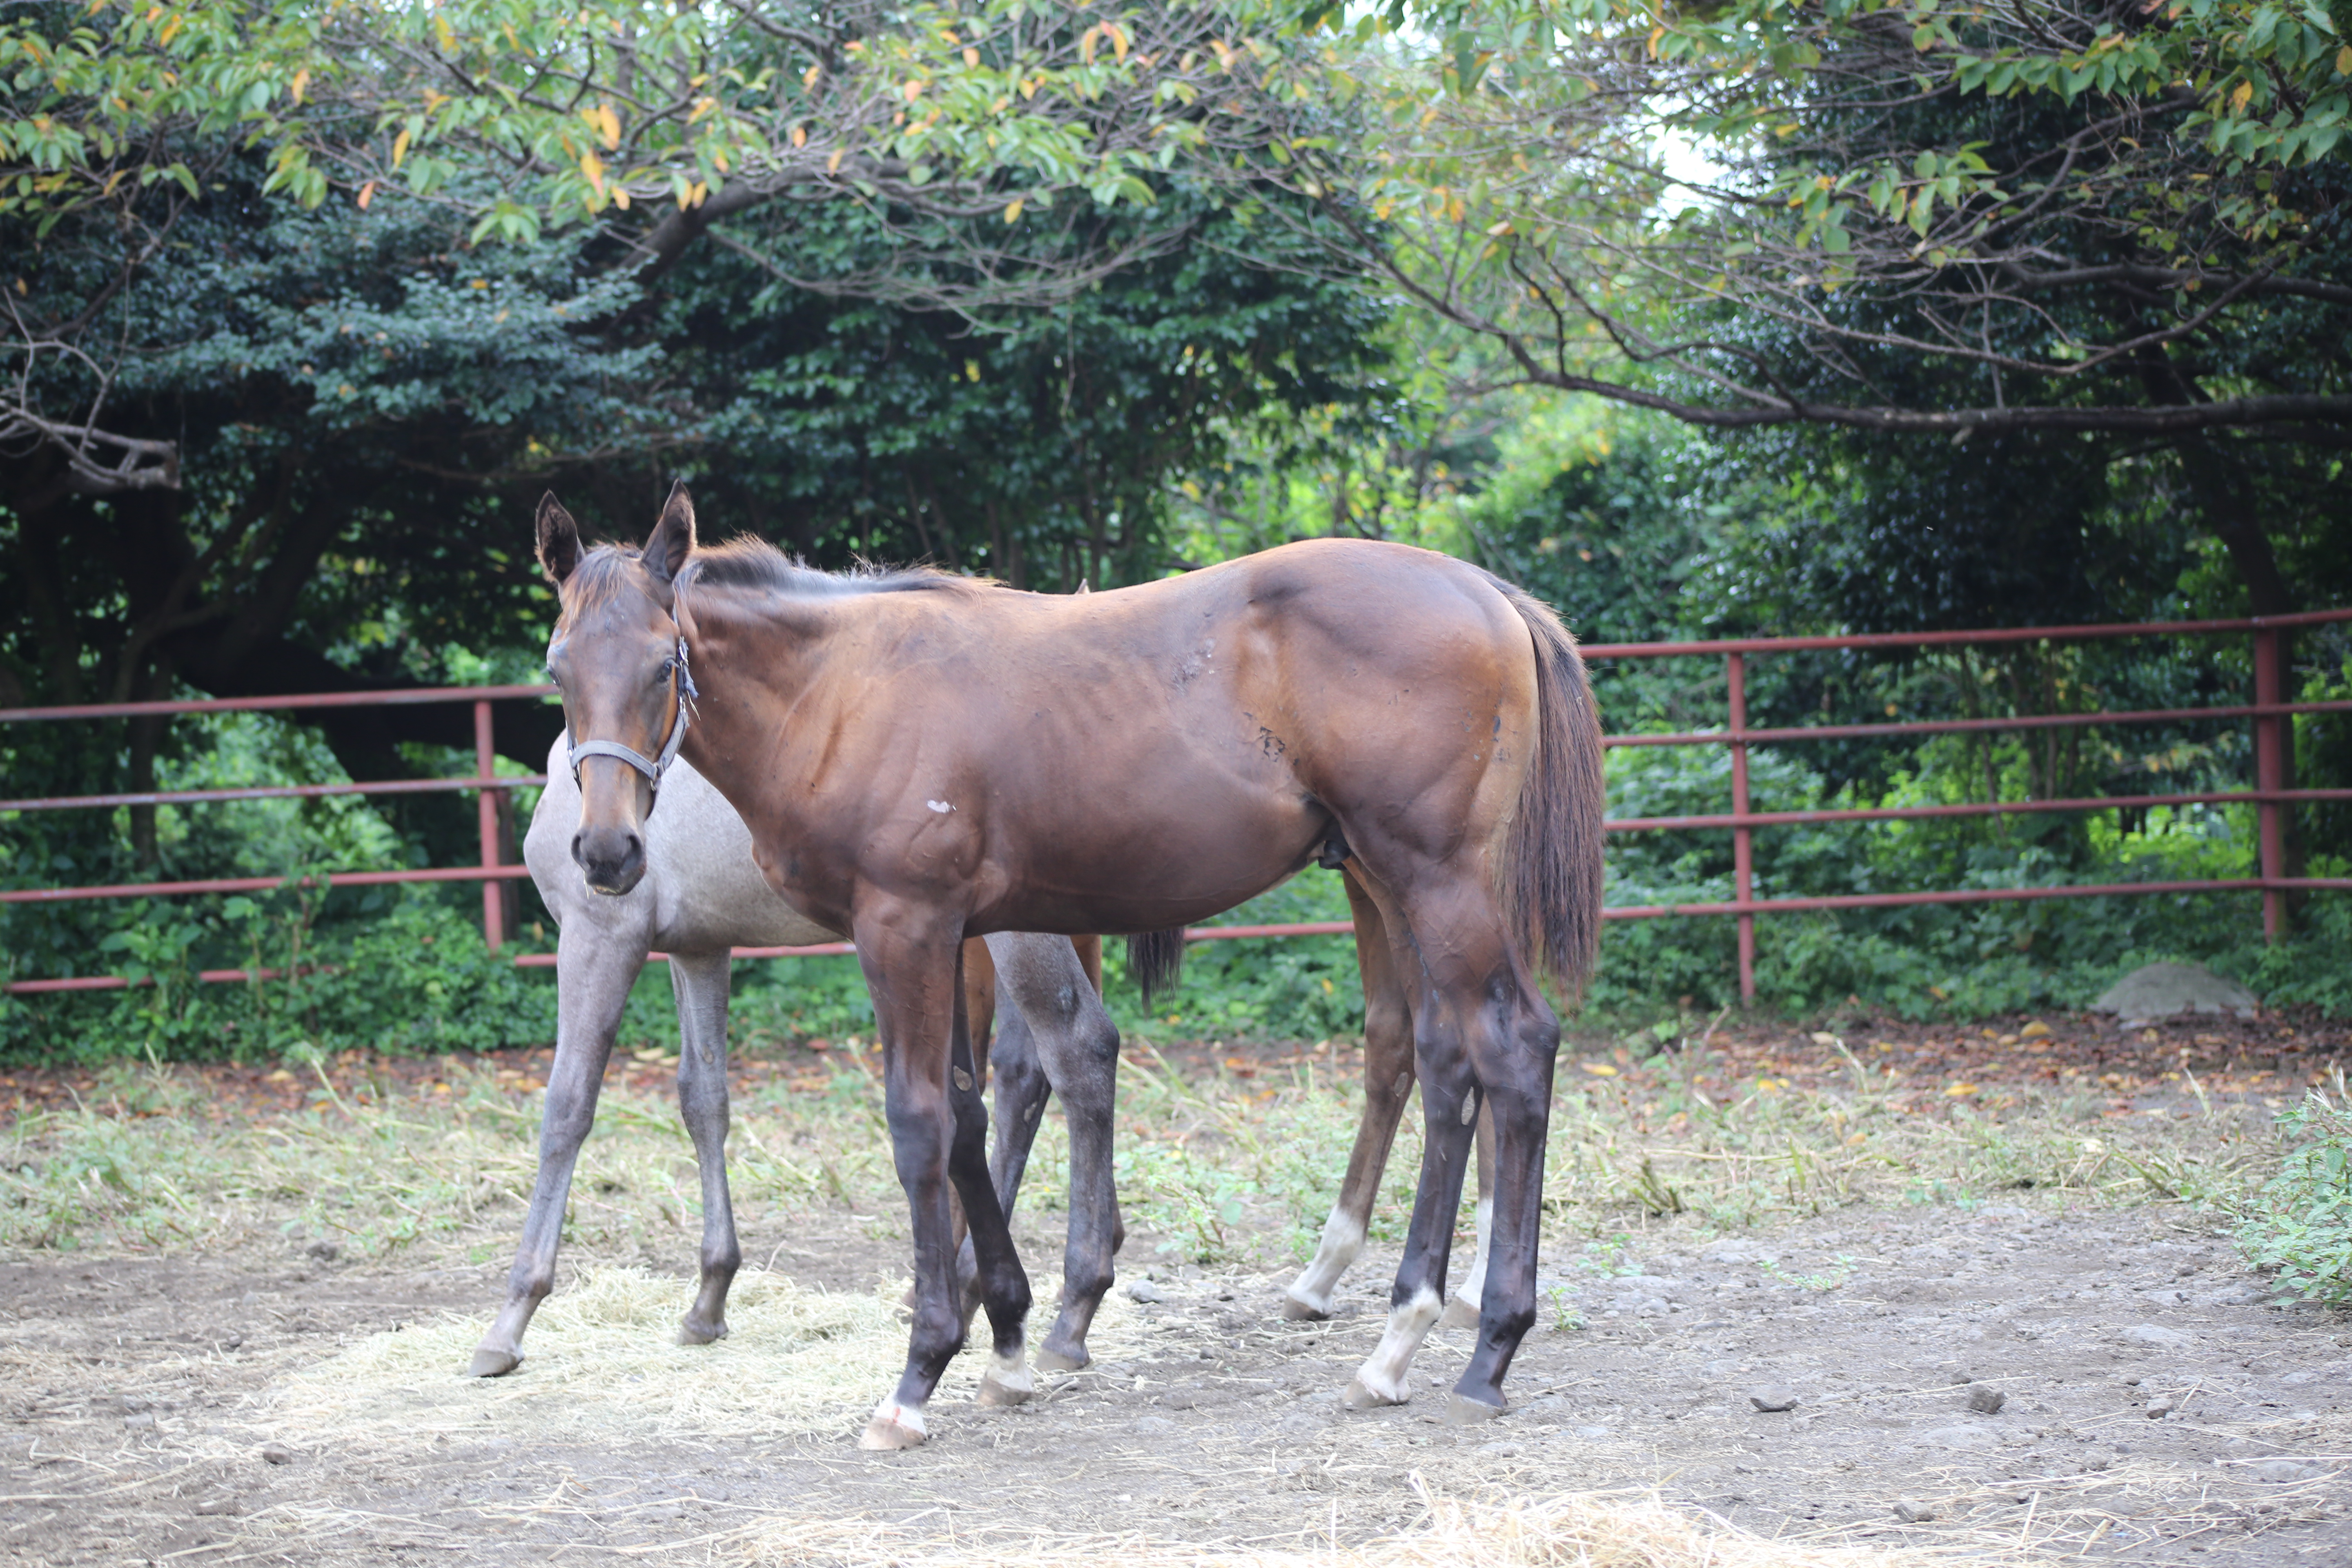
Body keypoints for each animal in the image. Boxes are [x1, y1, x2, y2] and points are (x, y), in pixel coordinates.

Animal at [536, 484, 1608, 1457]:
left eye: (662, 662)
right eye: (557, 668)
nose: (607, 853)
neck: (841, 689)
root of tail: (1485, 591)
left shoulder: (903, 929)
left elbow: (918, 1125)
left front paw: (921, 1372)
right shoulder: (950, 935)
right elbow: (968, 1115)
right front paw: (1006, 1339)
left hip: (1435, 883)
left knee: (1512, 1051)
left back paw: (1485, 1351)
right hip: (1391, 883)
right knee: (1444, 1060)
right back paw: (1397, 1340)